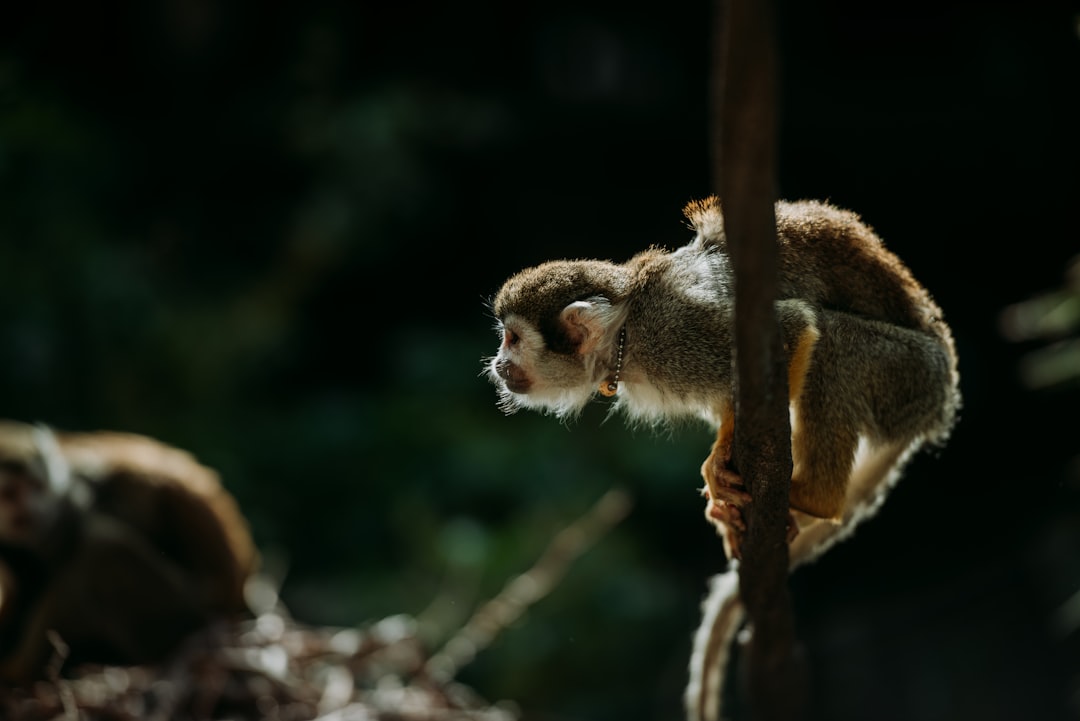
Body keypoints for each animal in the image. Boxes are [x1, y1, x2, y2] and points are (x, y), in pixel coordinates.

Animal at [486, 197, 959, 721]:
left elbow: (794, 325)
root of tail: (941, 403)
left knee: (835, 341)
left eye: (512, 339)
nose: (498, 365)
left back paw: (813, 497)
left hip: (908, 375)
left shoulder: (678, 333)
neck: (626, 335)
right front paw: (721, 475)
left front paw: (720, 461)